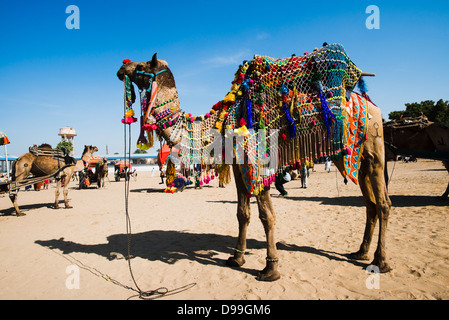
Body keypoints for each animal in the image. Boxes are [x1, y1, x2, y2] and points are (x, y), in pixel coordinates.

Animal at [116, 44, 392, 280]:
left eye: (142, 65)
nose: (122, 67)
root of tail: (372, 105)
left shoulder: (258, 162)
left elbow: (267, 216)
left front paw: (270, 269)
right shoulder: (240, 168)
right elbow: (242, 213)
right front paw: (236, 258)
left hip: (375, 152)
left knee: (384, 203)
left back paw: (381, 261)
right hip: (356, 159)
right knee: (370, 204)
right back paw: (361, 253)